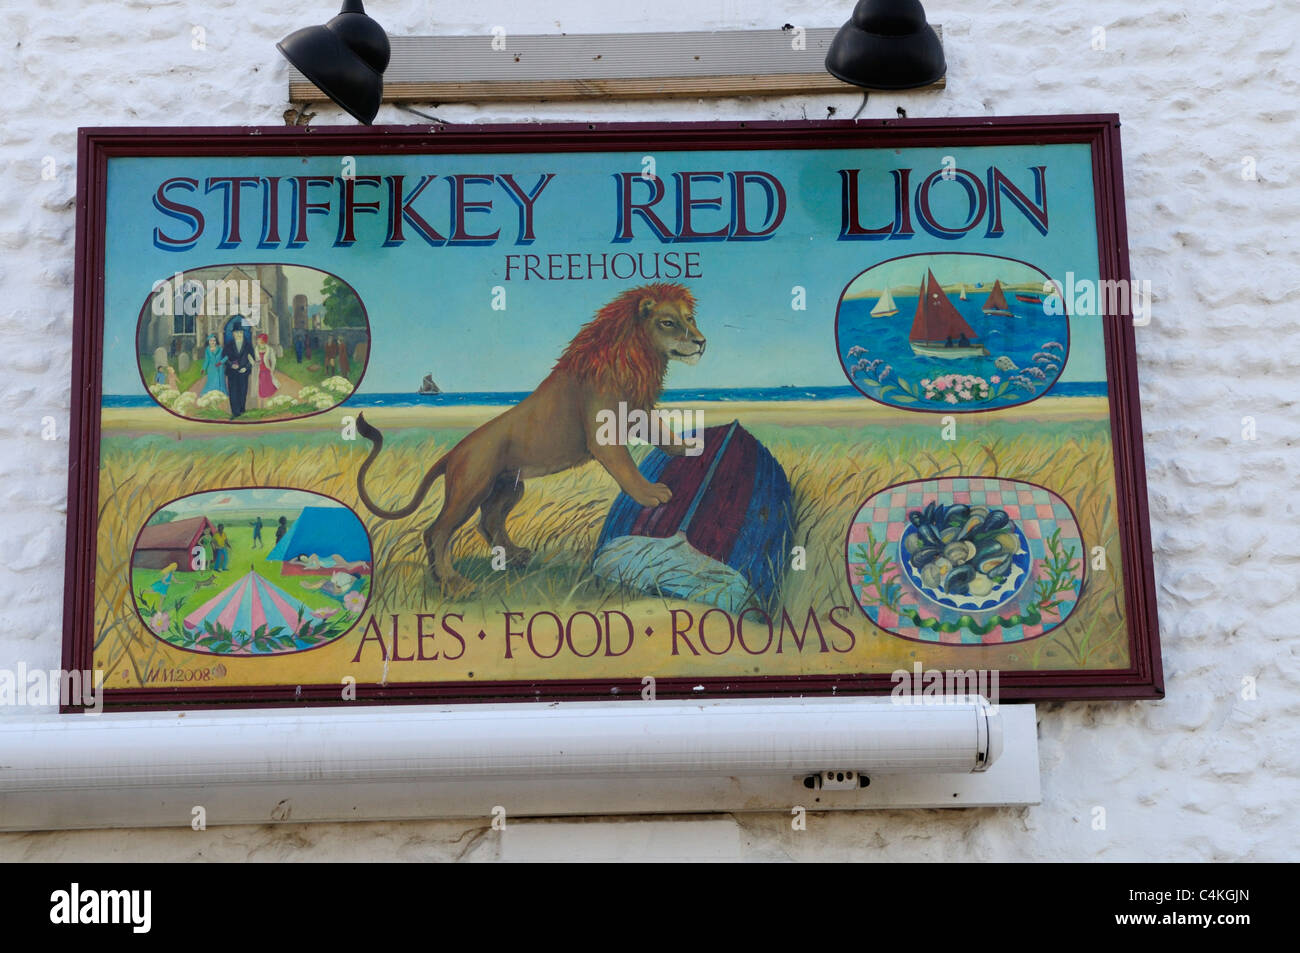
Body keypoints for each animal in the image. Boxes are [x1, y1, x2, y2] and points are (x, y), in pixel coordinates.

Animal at [356, 280, 707, 587]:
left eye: (689, 318)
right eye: (668, 322)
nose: (702, 342)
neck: (637, 355)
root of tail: (453, 452)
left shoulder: (637, 411)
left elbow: (662, 433)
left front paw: (688, 446)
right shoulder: (602, 434)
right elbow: (626, 467)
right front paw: (650, 494)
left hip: (509, 487)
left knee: (489, 521)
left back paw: (516, 557)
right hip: (471, 488)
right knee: (437, 532)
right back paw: (454, 583)